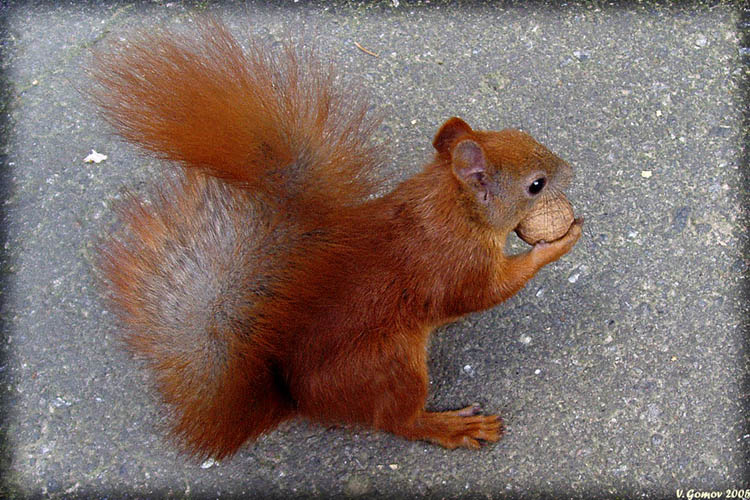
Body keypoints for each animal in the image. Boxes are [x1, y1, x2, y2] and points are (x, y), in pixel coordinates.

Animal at [91, 19, 583, 459]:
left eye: (519, 134)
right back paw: (450, 426)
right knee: (397, 421)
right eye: (536, 185)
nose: (571, 169)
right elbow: (487, 292)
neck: (449, 207)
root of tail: (297, 401)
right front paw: (556, 244)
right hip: (390, 364)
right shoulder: (456, 266)